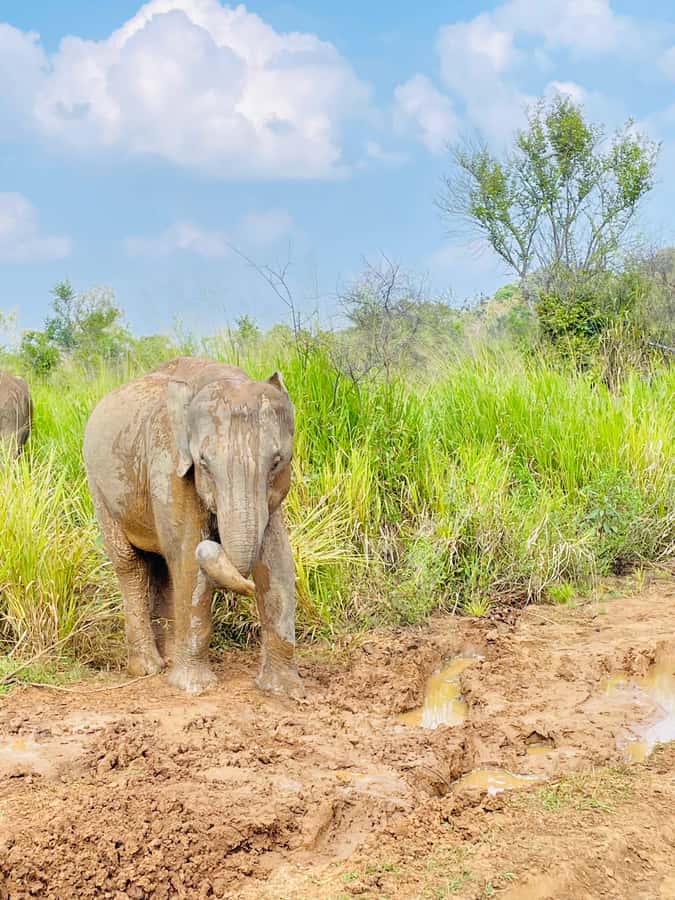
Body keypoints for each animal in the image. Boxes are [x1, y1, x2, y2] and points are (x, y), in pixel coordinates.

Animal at [83, 356, 303, 697]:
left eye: (277, 461)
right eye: (204, 464)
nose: (248, 587)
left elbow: (277, 558)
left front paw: (284, 691)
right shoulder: (169, 464)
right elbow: (188, 557)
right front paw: (194, 687)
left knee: (162, 566)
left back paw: (171, 657)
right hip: (100, 490)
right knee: (131, 565)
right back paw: (149, 668)